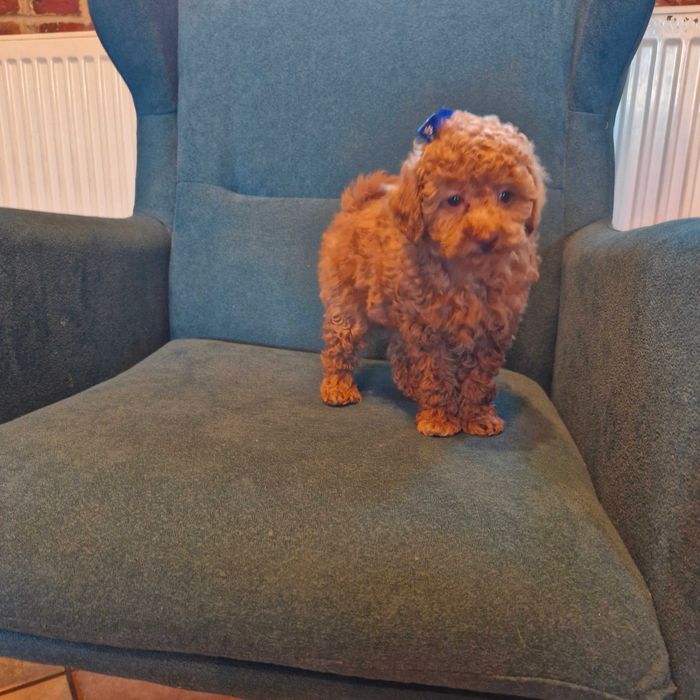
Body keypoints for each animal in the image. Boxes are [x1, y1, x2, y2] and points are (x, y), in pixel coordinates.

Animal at [318, 109, 546, 437]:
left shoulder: (492, 331)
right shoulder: (430, 327)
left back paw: (411, 388)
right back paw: (338, 386)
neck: (468, 272)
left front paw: (478, 417)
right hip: (346, 300)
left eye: (506, 195)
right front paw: (439, 418)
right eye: (453, 200)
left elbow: (479, 378)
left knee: (398, 349)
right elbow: (437, 373)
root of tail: (355, 205)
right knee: (341, 341)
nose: (487, 237)